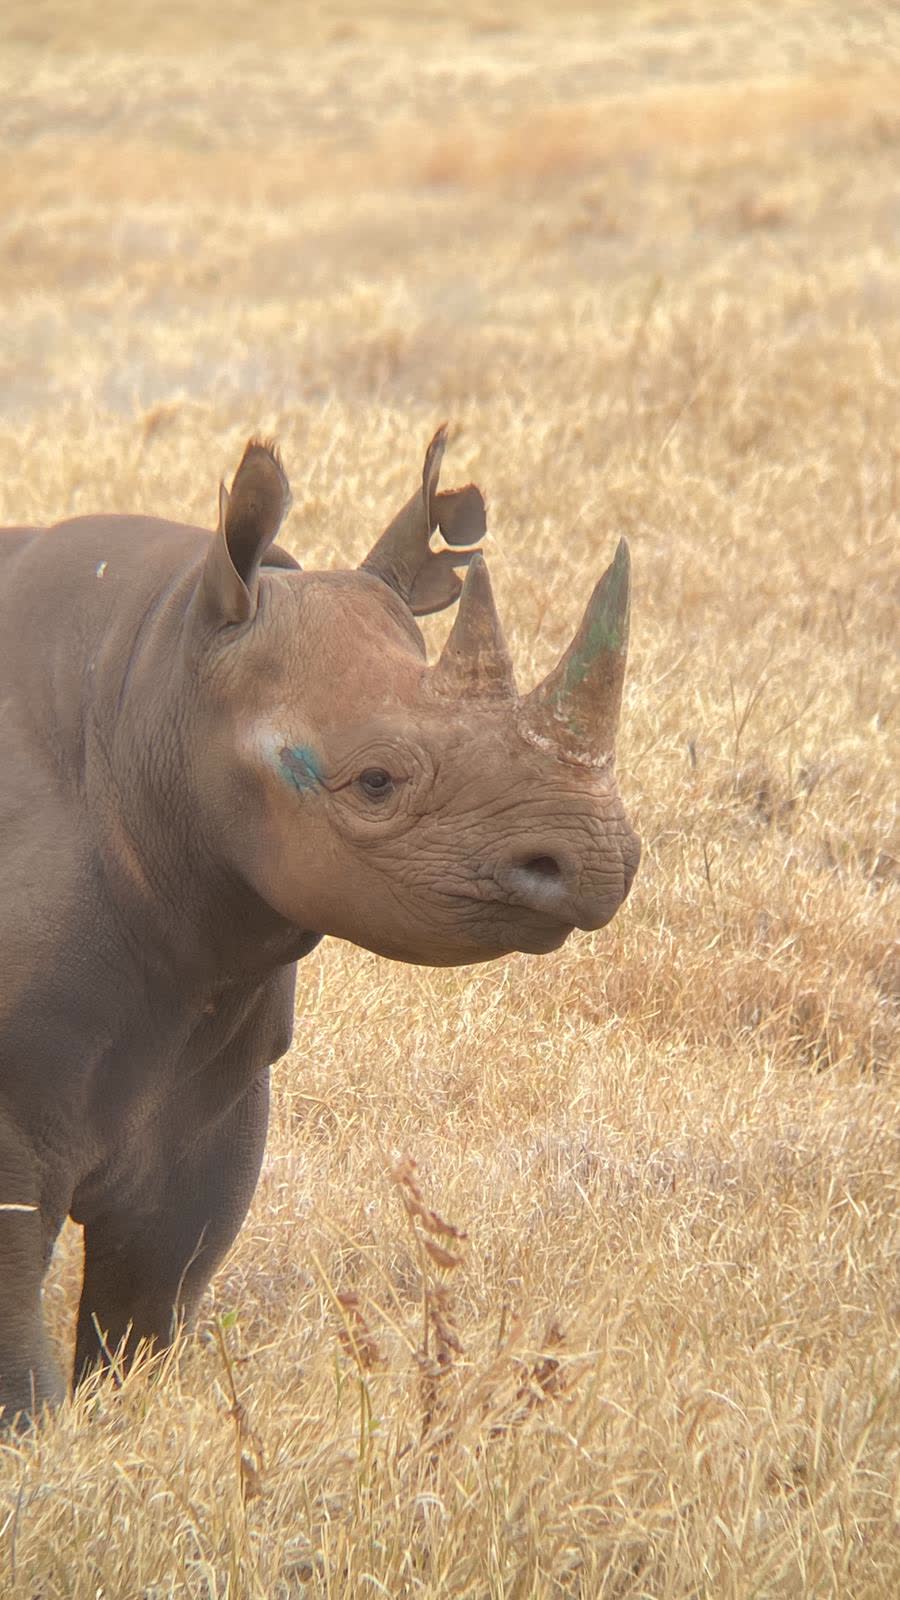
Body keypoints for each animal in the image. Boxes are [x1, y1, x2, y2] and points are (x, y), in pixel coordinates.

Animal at [0, 426, 639, 1423]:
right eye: (373, 783)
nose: (600, 860)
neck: (153, 687)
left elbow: (153, 1301)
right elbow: (14, 1342)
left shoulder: (211, 1079)